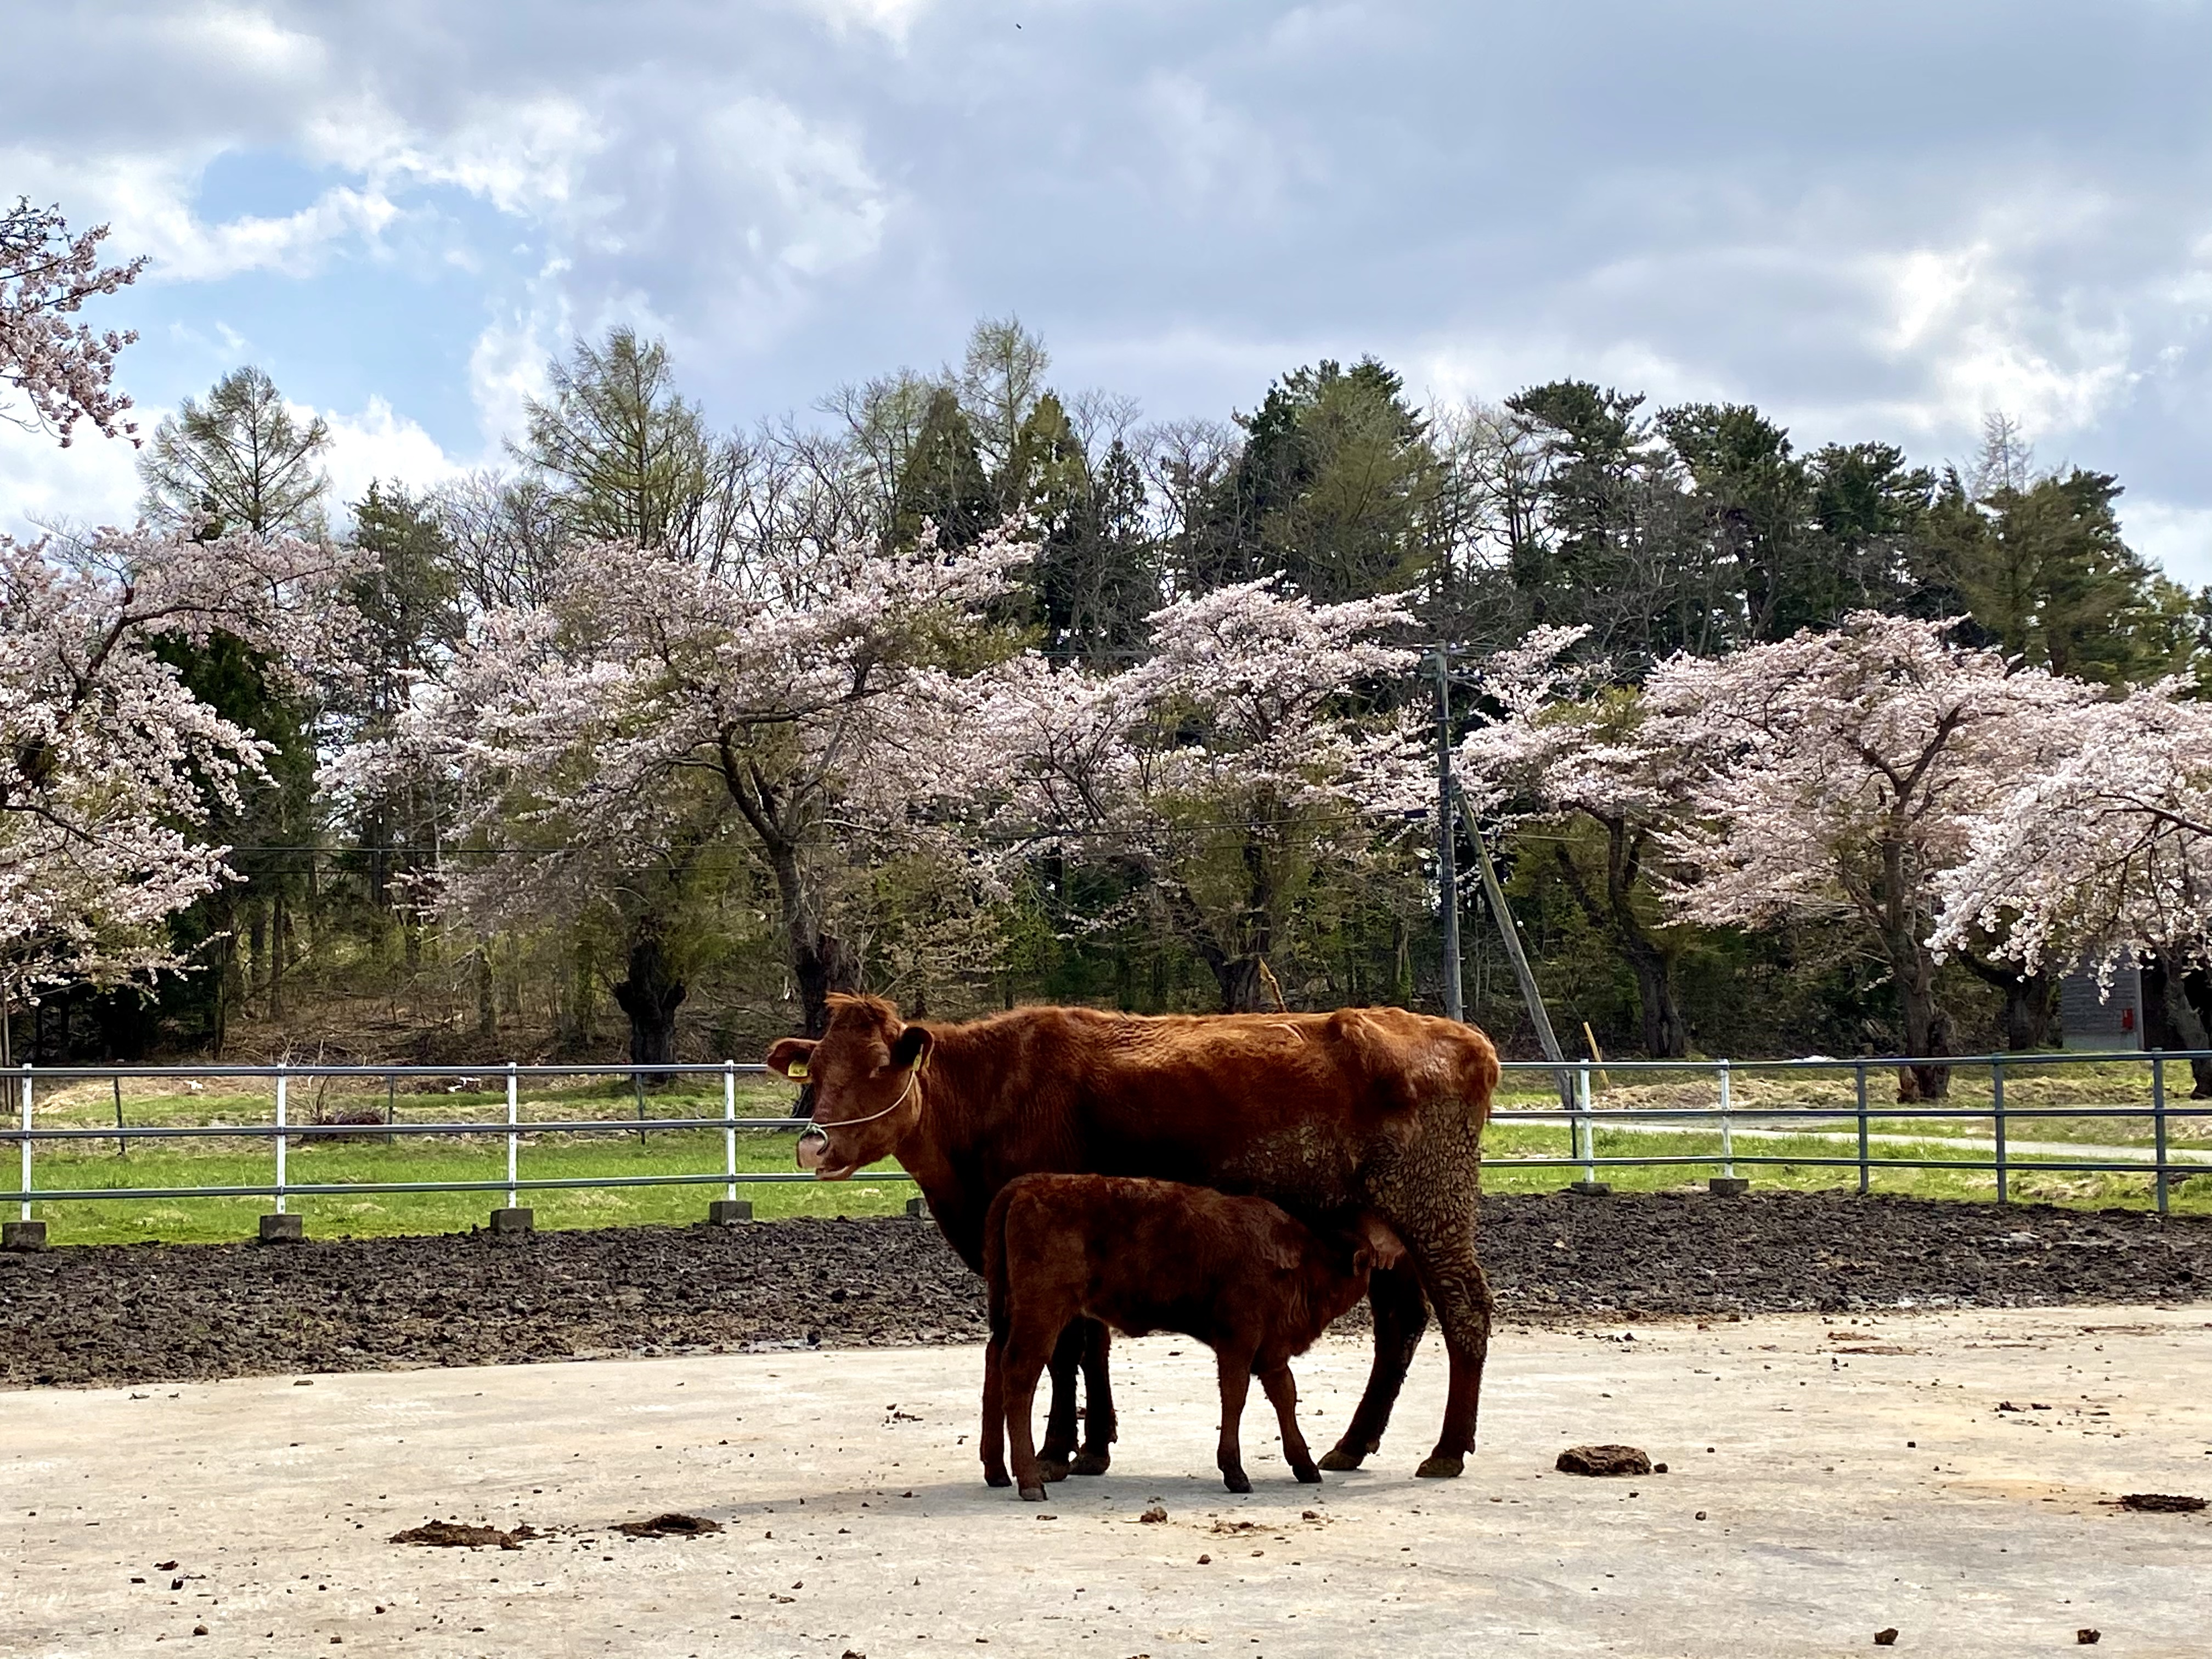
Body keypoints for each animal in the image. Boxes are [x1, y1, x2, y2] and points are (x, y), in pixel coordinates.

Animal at [982, 1167, 1398, 1504]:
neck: (1303, 1261)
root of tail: (1031, 1184)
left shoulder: (1272, 1351)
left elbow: (1285, 1396)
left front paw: (1306, 1466)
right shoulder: (1238, 1342)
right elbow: (1236, 1397)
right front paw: (1235, 1473)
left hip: (1011, 1314)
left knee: (994, 1366)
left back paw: (997, 1472)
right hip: (1042, 1315)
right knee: (1019, 1376)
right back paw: (1030, 1483)